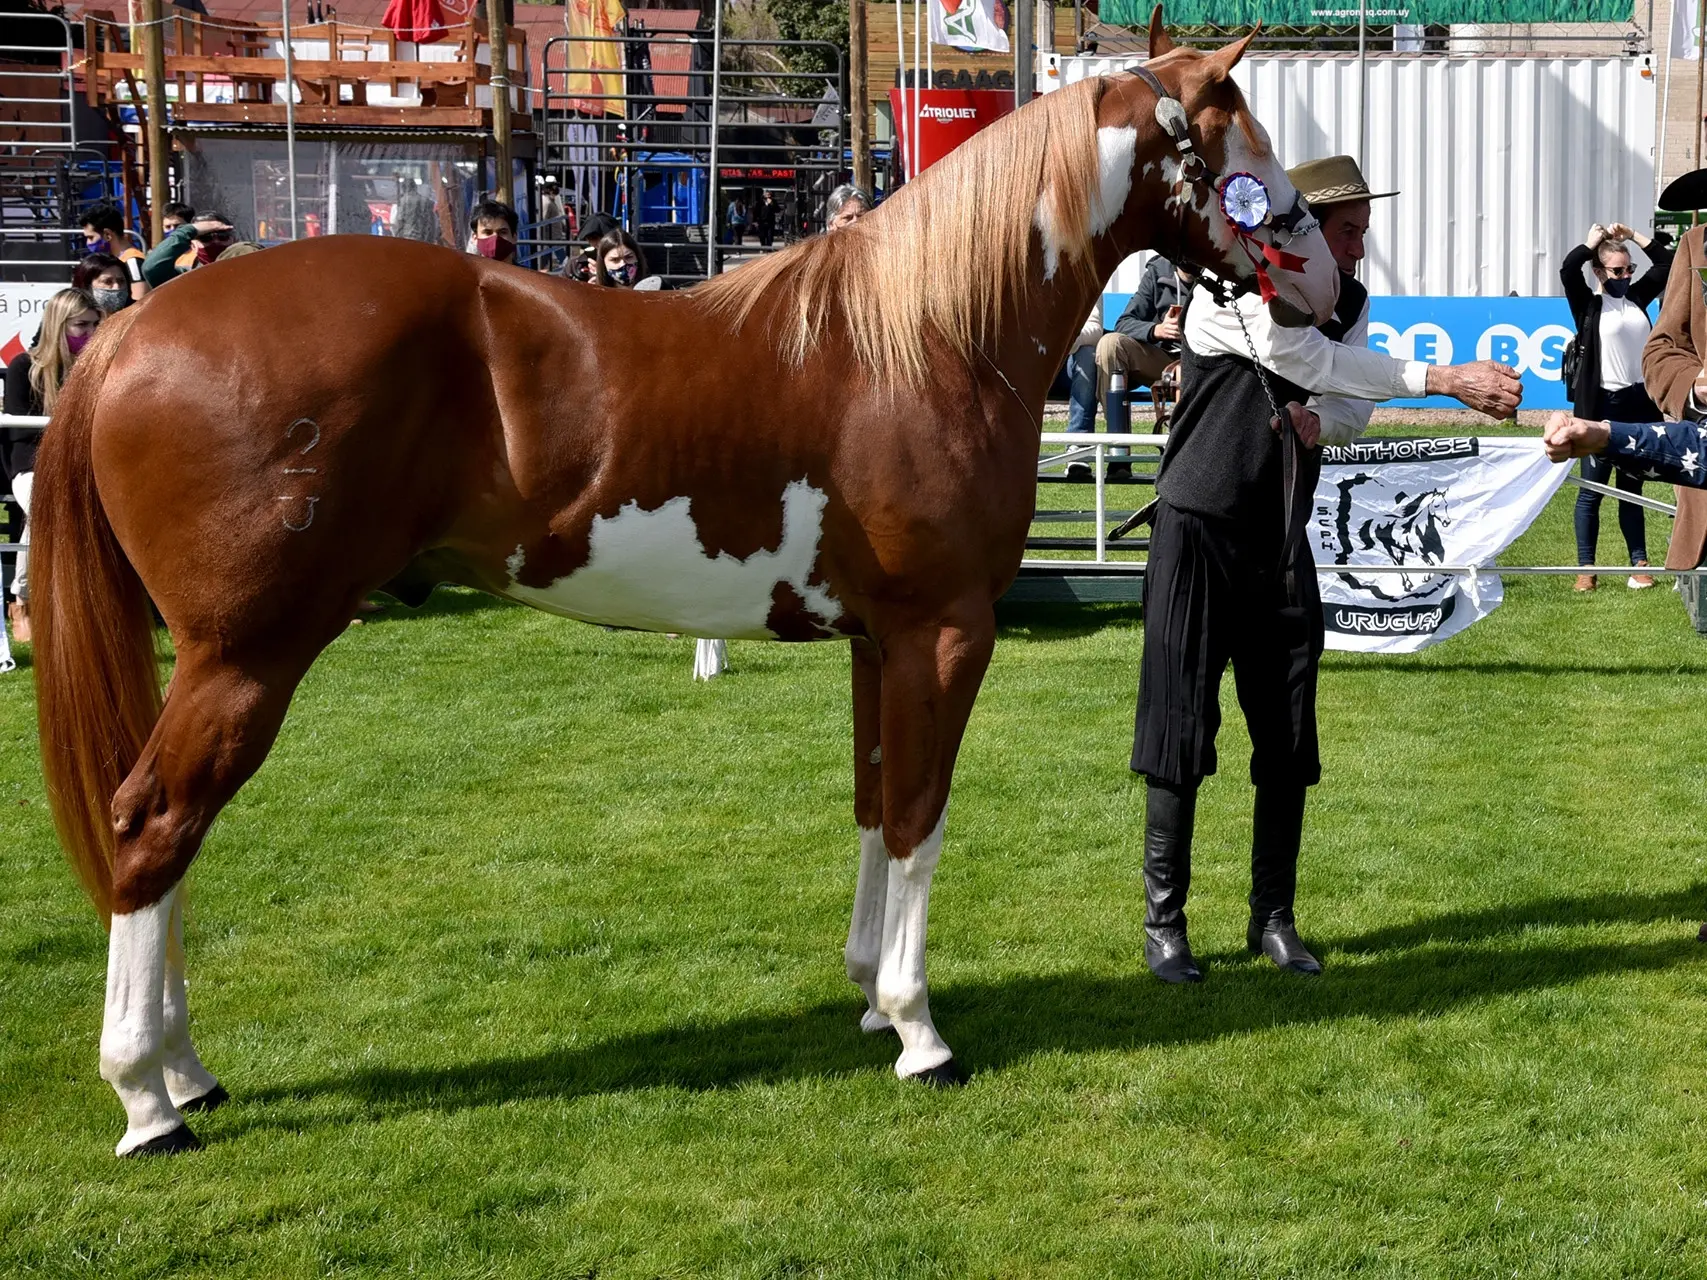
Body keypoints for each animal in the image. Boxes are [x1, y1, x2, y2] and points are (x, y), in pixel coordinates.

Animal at [20, 10, 1338, 1160]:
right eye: (1241, 139)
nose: (1337, 285)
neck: (930, 339)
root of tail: (135, 333)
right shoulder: (944, 636)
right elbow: (920, 818)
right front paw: (919, 1030)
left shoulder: (878, 644)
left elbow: (874, 805)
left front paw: (868, 995)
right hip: (248, 654)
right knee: (152, 824)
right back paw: (148, 1098)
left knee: (171, 840)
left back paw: (189, 1070)